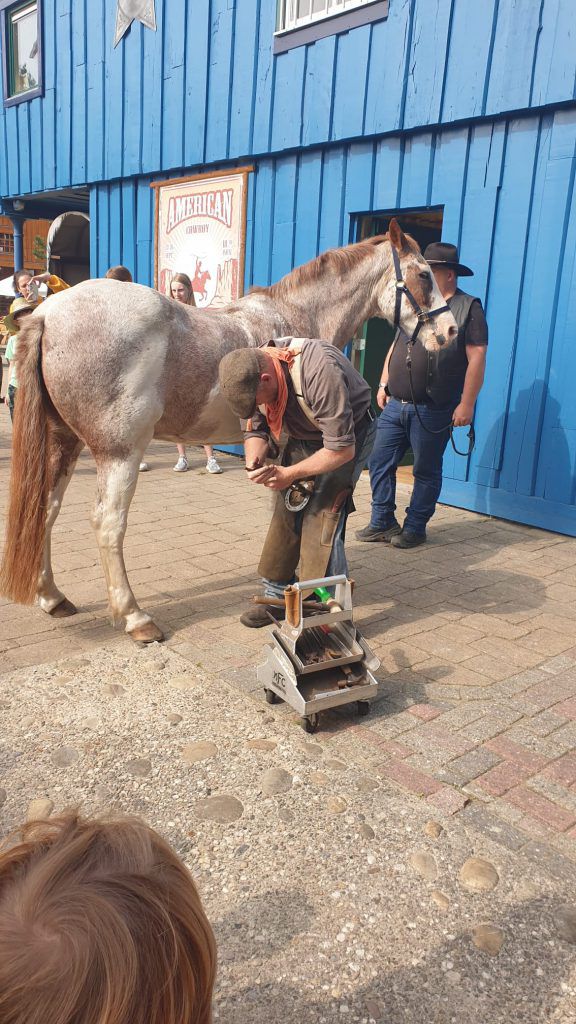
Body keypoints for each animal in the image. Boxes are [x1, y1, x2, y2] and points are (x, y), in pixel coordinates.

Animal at [2, 221, 455, 643]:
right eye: (423, 275)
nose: (449, 332)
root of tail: (47, 313)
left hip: (65, 442)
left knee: (45, 510)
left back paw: (52, 597)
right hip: (119, 451)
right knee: (108, 523)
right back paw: (135, 618)